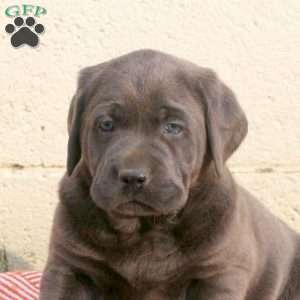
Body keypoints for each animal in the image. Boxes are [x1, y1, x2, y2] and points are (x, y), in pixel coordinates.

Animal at [39, 48, 300, 298]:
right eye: (106, 124)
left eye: (173, 127)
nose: (133, 177)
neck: (144, 228)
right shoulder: (69, 267)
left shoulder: (219, 273)